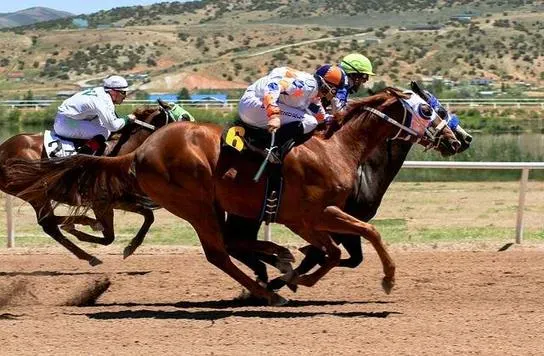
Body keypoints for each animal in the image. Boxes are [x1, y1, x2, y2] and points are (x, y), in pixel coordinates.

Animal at [0, 104, 174, 266]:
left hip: (37, 195)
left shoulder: (118, 201)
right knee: (49, 224)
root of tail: (3, 149)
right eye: (174, 119)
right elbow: (109, 237)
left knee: (50, 223)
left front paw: (131, 247)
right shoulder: (100, 203)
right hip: (36, 194)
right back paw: (87, 235)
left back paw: (82, 234)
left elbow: (148, 217)